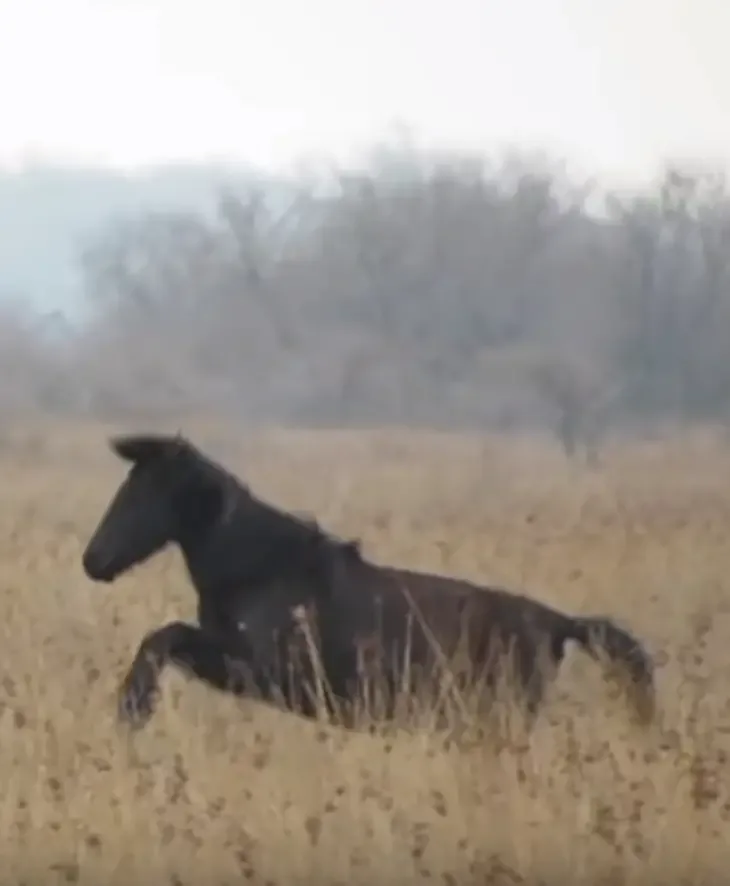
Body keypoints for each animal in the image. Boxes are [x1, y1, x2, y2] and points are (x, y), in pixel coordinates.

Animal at [81, 434, 656, 732]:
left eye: (142, 492)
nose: (93, 560)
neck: (261, 570)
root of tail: (558, 624)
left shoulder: (266, 671)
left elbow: (167, 636)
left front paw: (133, 708)